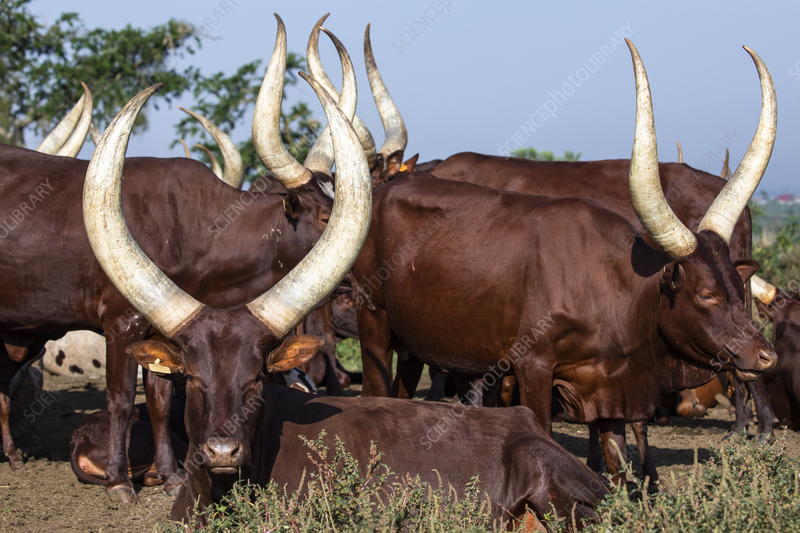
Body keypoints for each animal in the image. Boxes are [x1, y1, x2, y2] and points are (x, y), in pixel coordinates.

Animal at [353, 40, 777, 487]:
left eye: (733, 285)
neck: (611, 286)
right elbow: (541, 433)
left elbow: (615, 459)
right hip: (373, 319)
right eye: (706, 294)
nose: (766, 357)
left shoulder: (608, 388)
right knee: (375, 392)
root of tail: (385, 193)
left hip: (411, 341)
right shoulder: (533, 367)